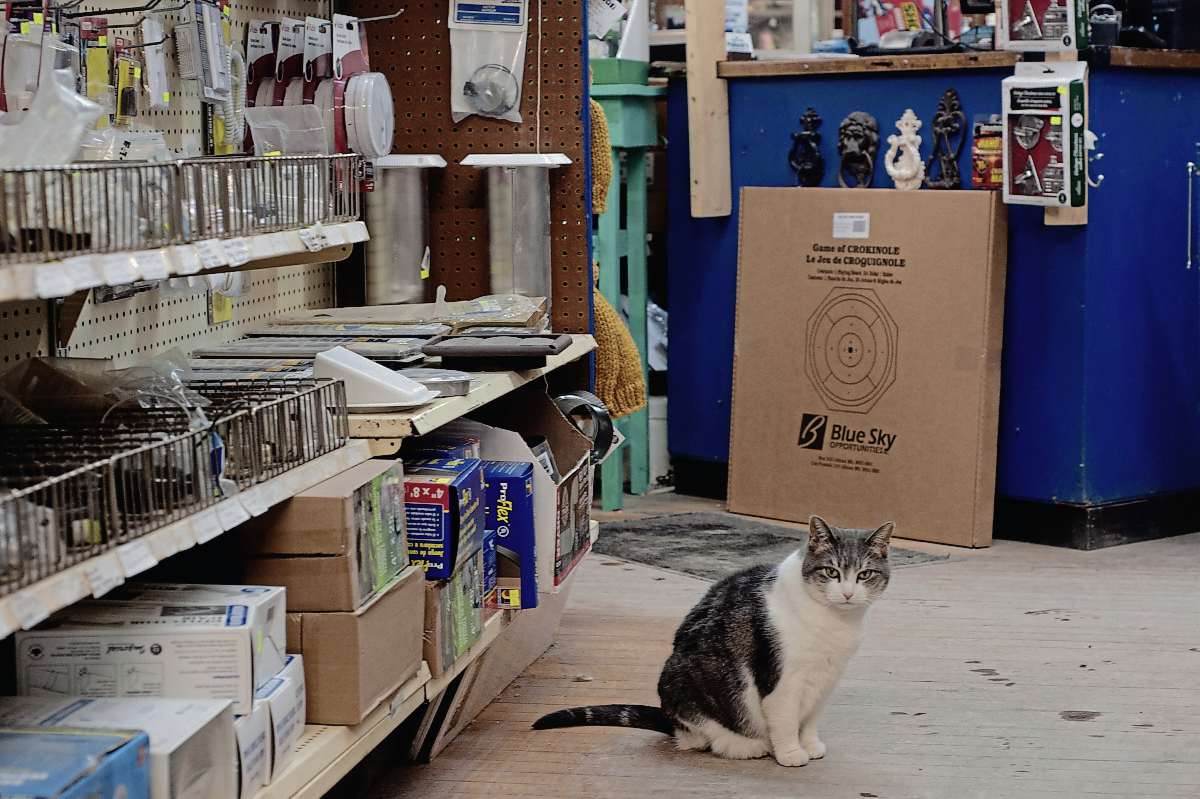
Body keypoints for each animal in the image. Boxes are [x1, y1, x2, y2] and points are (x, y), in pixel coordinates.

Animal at [532, 515, 892, 767]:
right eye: (831, 572)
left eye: (864, 575)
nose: (847, 594)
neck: (835, 622)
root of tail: (672, 722)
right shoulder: (783, 680)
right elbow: (787, 719)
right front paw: (791, 752)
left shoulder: (827, 678)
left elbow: (811, 719)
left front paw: (811, 744)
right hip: (682, 680)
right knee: (706, 736)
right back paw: (747, 745)